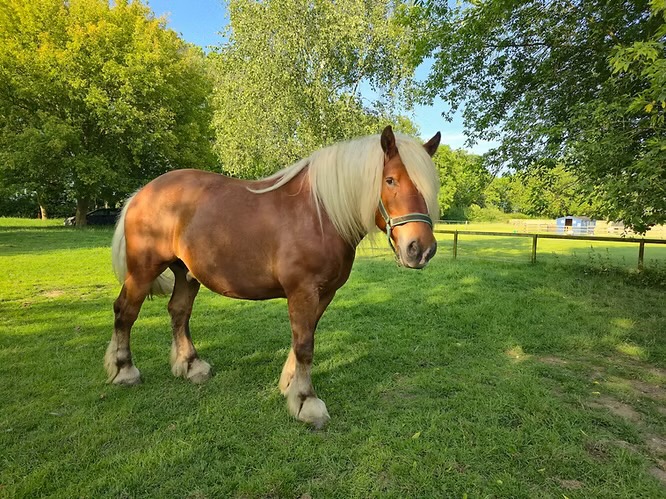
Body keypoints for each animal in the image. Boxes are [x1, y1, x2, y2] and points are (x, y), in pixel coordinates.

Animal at [106, 126, 441, 428]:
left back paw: (191, 365)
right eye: (390, 180)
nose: (420, 249)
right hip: (144, 269)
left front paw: (290, 386)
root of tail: (141, 193)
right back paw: (124, 371)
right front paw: (306, 402)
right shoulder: (302, 291)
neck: (320, 214)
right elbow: (305, 345)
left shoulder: (323, 293)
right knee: (126, 311)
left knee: (178, 311)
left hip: (185, 273)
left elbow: (304, 337)